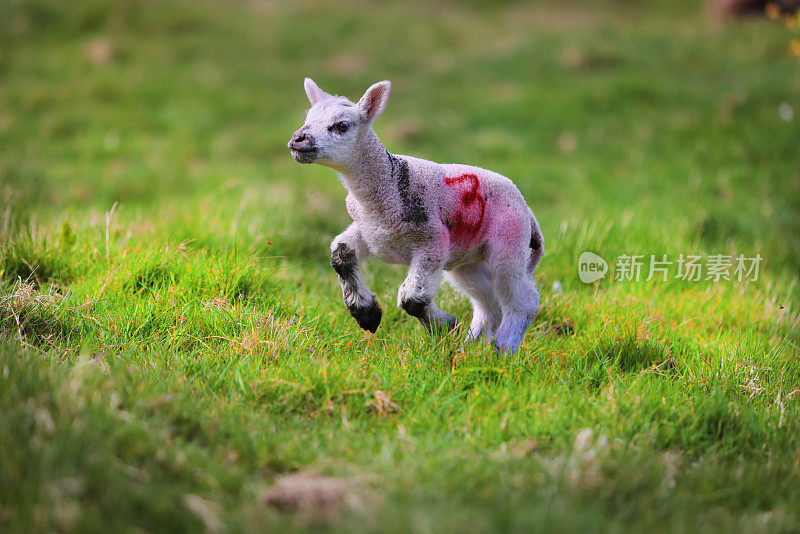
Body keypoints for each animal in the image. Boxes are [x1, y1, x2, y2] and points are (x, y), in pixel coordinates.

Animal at [288, 78, 544, 356]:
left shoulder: (432, 241)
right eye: (308, 118)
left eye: (341, 126)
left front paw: (444, 326)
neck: (387, 185)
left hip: (508, 240)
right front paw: (367, 314)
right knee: (488, 301)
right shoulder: (372, 234)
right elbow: (341, 253)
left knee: (522, 300)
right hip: (466, 258)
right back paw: (473, 345)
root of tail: (528, 211)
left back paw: (502, 349)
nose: (297, 140)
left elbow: (412, 298)